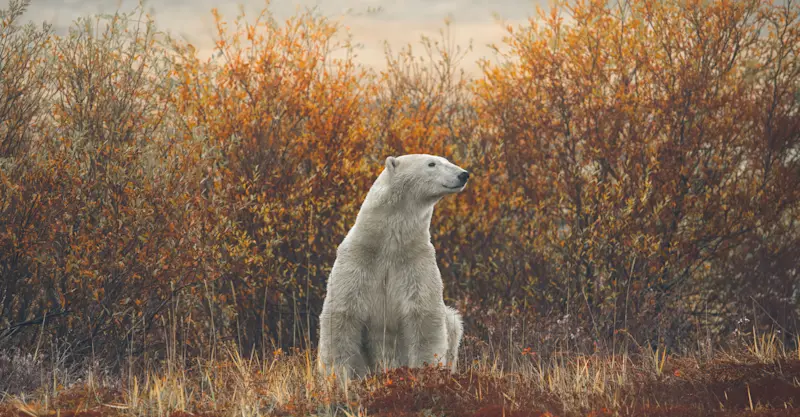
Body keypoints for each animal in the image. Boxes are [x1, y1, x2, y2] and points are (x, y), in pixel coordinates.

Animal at [317, 154, 468, 380]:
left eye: (447, 160)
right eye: (432, 163)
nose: (463, 174)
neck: (388, 244)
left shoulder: (415, 262)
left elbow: (424, 317)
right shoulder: (357, 260)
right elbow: (342, 316)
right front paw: (338, 377)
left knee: (452, 321)